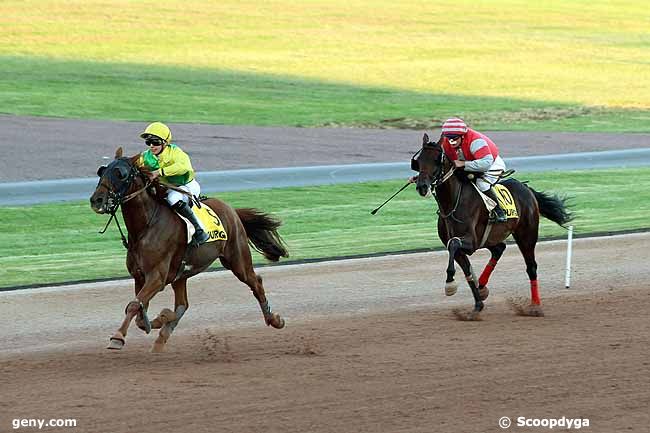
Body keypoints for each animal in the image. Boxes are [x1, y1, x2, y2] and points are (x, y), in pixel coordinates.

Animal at [90, 148, 288, 352]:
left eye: (120, 173)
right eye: (101, 171)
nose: (97, 200)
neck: (146, 227)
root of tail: (232, 210)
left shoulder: (156, 277)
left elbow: (134, 306)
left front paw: (118, 337)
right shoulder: (140, 276)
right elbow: (139, 311)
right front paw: (159, 319)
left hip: (237, 260)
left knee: (256, 282)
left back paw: (274, 319)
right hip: (181, 274)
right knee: (182, 305)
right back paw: (162, 335)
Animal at [412, 133, 568, 318]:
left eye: (437, 160)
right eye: (418, 160)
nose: (422, 186)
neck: (452, 204)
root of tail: (527, 188)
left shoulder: (471, 241)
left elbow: (454, 244)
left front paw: (450, 285)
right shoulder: (465, 245)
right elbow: (464, 267)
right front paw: (477, 304)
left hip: (526, 234)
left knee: (531, 267)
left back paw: (535, 306)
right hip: (490, 238)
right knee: (499, 248)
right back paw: (482, 285)